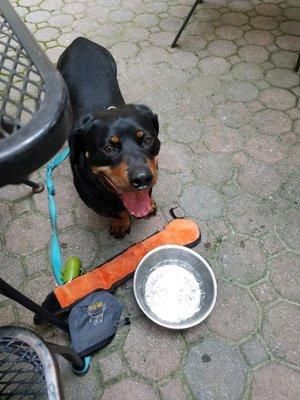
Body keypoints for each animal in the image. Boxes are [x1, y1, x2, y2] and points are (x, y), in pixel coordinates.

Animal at [56, 38, 159, 238]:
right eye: (109, 148)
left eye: (148, 140)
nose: (142, 178)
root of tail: (80, 40)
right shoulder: (91, 196)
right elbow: (117, 211)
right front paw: (121, 223)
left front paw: (149, 204)